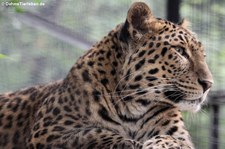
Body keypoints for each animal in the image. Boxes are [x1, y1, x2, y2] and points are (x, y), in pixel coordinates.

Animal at [0, 2, 213, 149]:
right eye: (180, 51)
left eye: (203, 56)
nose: (209, 84)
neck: (131, 108)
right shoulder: (47, 131)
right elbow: (92, 133)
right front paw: (129, 142)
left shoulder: (180, 136)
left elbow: (173, 139)